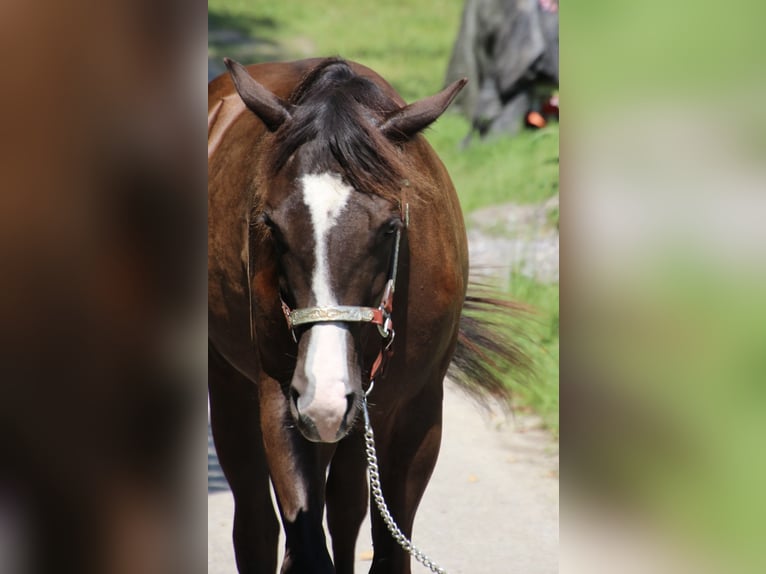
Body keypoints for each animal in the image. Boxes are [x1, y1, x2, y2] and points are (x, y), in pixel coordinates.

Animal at [207, 57, 524, 574]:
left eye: (391, 227)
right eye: (270, 225)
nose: (324, 393)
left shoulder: (417, 412)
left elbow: (387, 546)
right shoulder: (280, 396)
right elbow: (305, 542)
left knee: (345, 509)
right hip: (238, 387)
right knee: (256, 524)